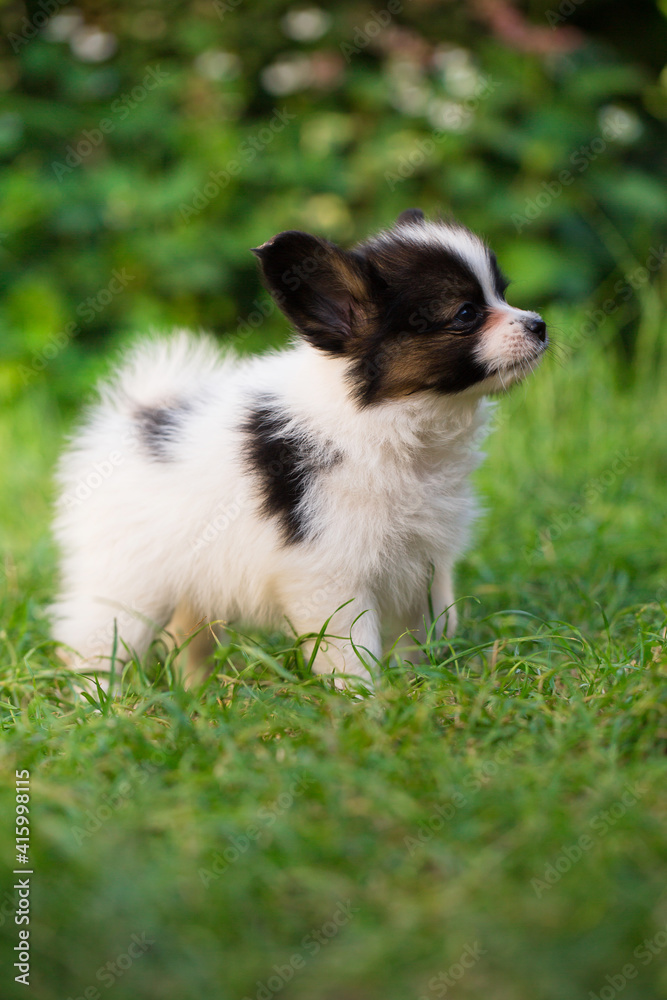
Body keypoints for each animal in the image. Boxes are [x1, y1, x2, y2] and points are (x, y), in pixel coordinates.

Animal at [51, 210, 548, 688]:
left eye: (502, 293)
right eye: (465, 313)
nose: (540, 325)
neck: (386, 421)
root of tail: (144, 416)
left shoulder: (426, 561)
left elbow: (429, 629)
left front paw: (427, 681)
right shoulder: (328, 572)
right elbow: (351, 652)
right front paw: (365, 702)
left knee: (188, 637)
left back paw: (194, 693)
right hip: (126, 582)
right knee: (99, 646)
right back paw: (103, 702)